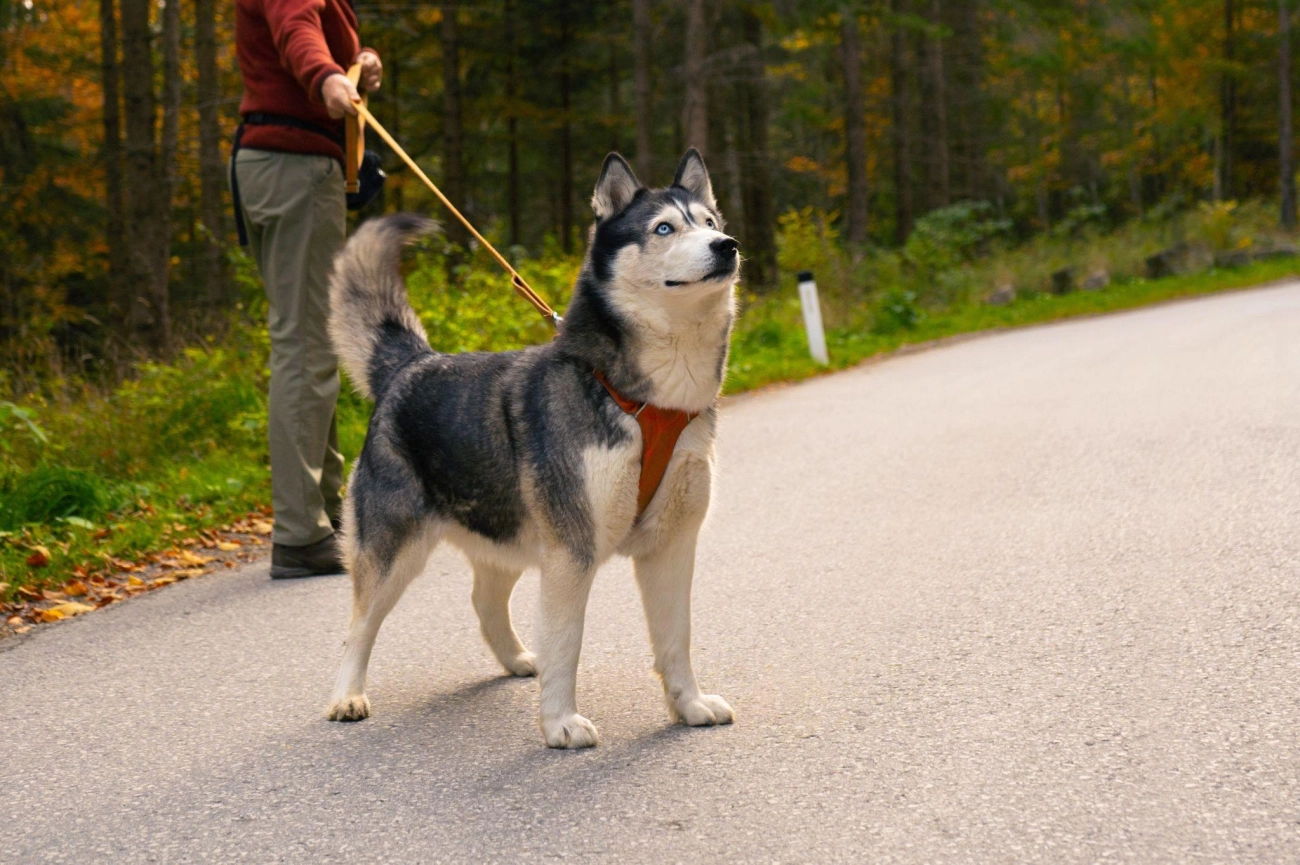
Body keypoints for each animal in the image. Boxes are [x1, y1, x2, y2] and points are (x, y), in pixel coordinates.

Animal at [325, 150, 738, 749]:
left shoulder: (673, 546)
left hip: (508, 531)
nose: (727, 245)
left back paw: (520, 658)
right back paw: (347, 695)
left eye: (709, 222)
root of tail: (413, 363)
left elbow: (676, 639)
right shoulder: (572, 550)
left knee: (484, 600)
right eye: (665, 228)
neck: (651, 401)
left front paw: (689, 705)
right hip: (393, 549)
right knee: (359, 623)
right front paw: (561, 722)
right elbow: (566, 642)